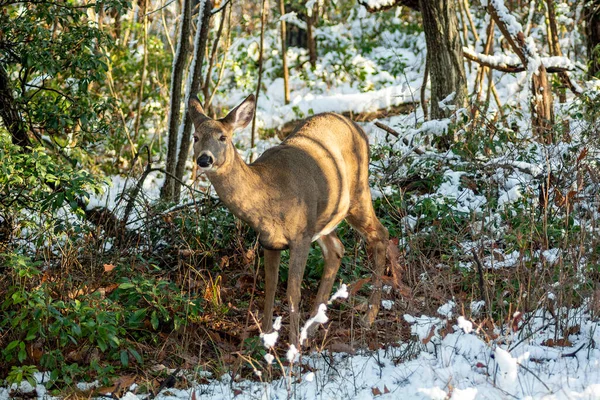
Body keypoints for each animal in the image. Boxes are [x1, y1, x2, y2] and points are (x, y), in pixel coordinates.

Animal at [190, 94, 392, 346]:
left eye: (223, 137)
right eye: (195, 137)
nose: (204, 159)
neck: (268, 194)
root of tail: (358, 127)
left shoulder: (300, 237)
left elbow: (292, 292)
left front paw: (293, 344)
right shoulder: (269, 241)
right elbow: (271, 286)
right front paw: (265, 337)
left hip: (358, 192)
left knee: (380, 235)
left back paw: (368, 317)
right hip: (323, 217)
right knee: (337, 249)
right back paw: (313, 327)